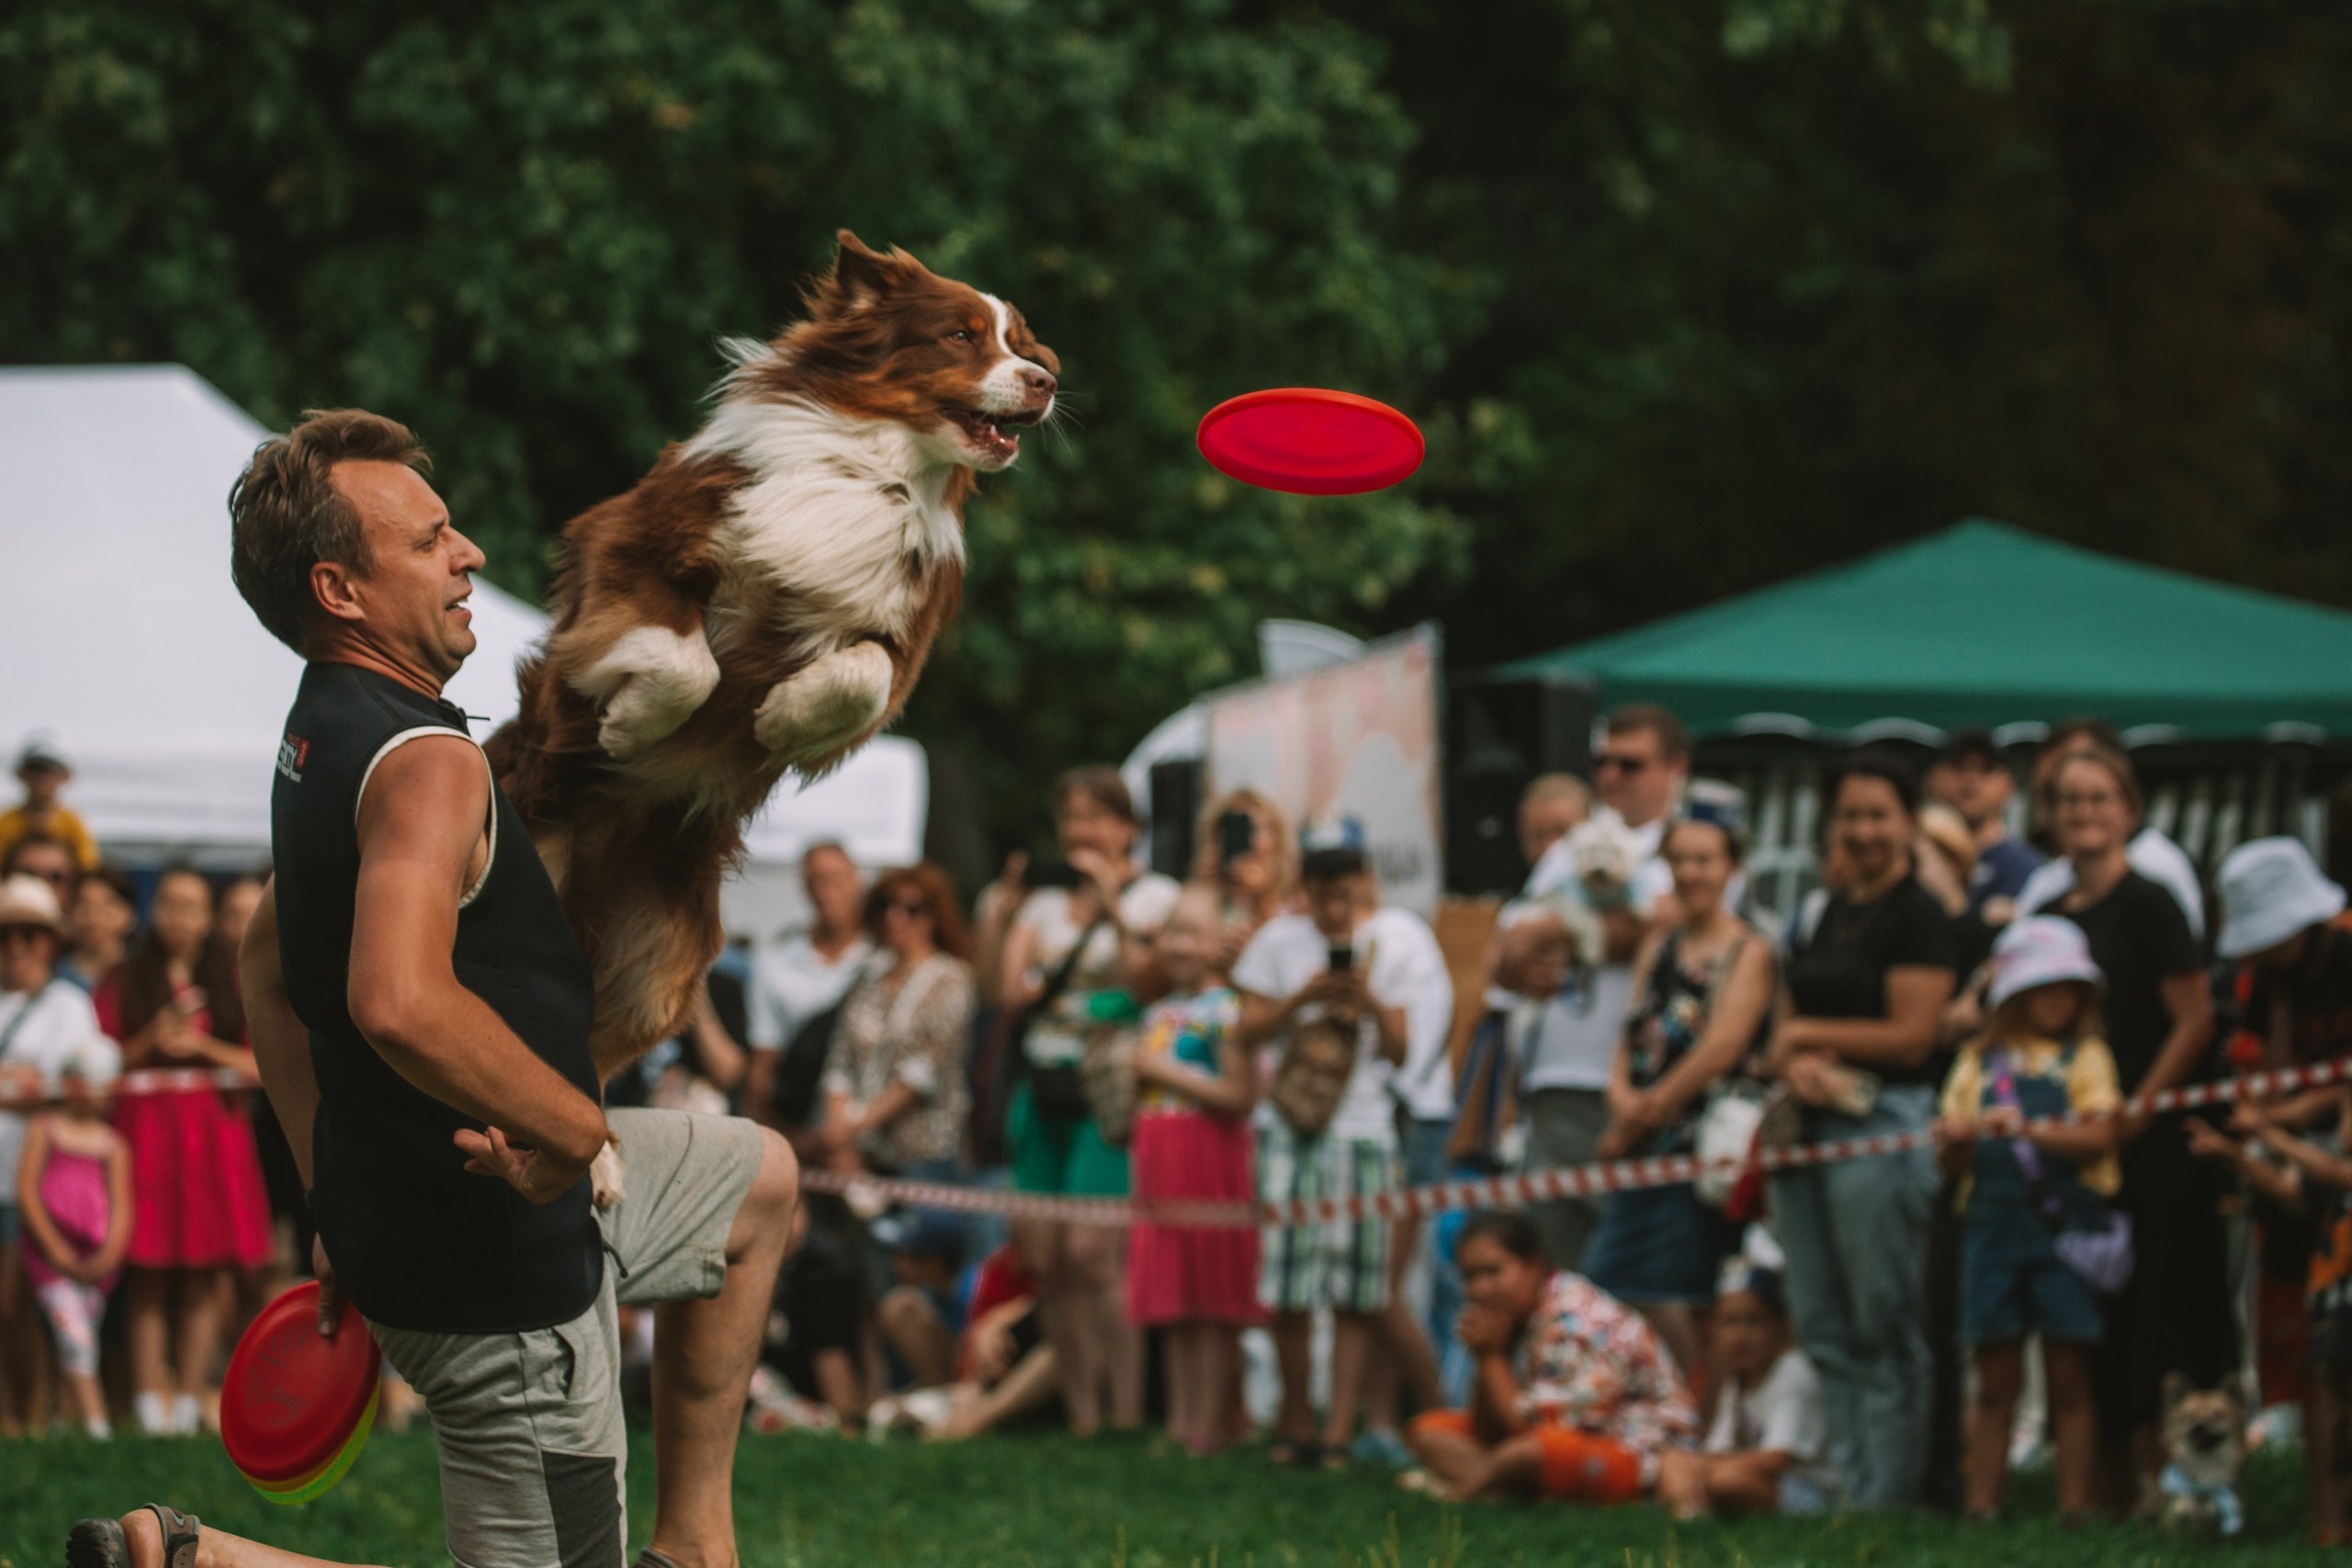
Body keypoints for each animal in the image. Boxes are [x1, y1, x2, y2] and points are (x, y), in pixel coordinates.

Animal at [486, 230, 1058, 1081]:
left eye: (1020, 343)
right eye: (959, 335)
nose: (1047, 381)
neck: (871, 470)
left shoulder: (903, 636)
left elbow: (862, 677)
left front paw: (781, 718)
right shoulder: (629, 540)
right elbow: (687, 662)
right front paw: (628, 725)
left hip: (656, 967)